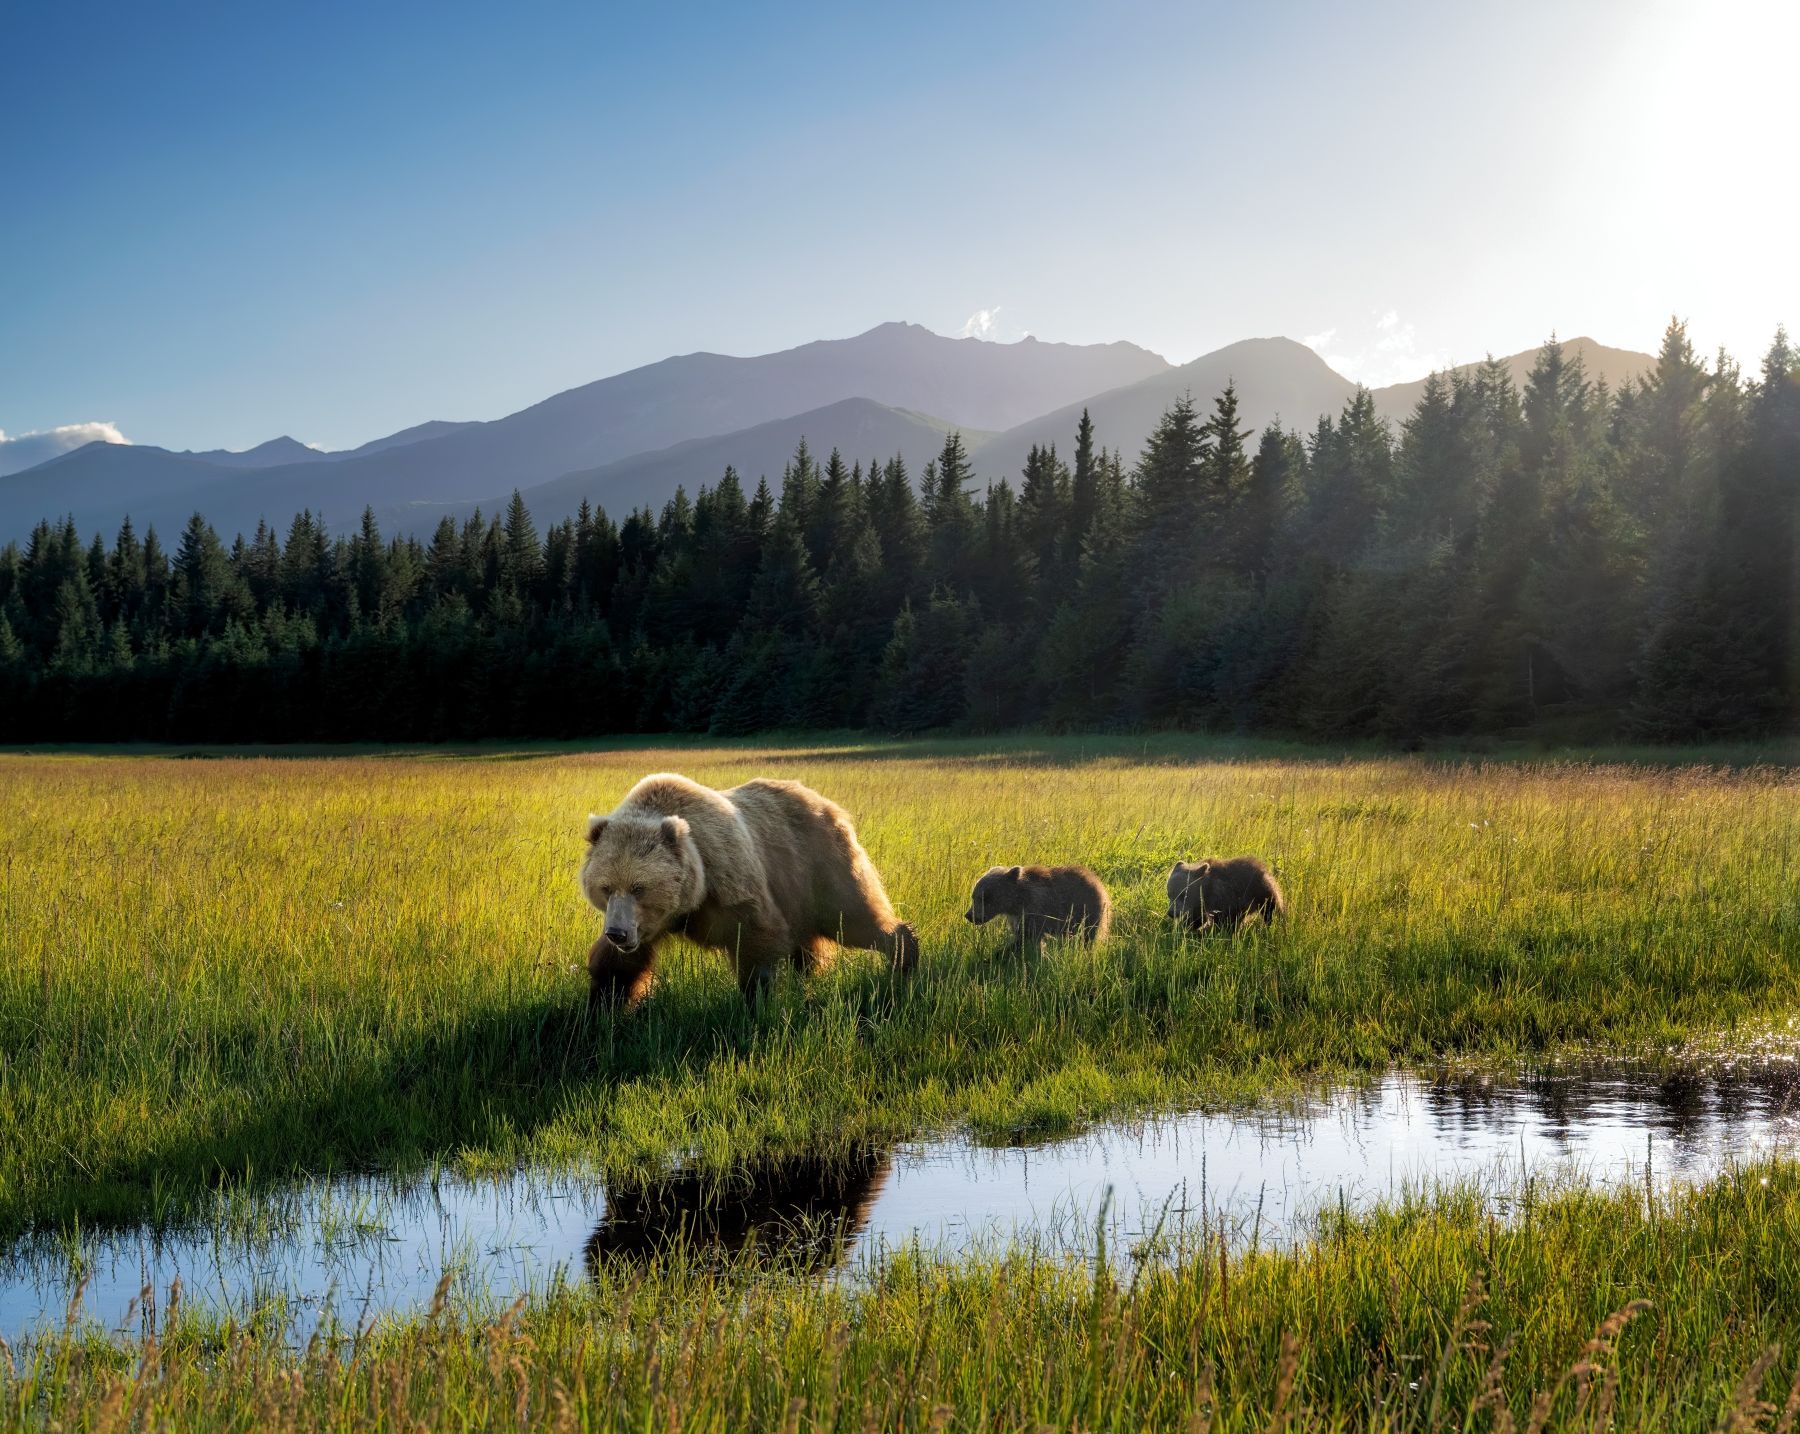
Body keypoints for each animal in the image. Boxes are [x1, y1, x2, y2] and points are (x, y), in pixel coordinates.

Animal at [581, 772, 919, 1007]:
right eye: (606, 887)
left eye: (639, 887)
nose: (617, 933)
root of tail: (824, 801)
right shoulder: (647, 924)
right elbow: (617, 967)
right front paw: (602, 1007)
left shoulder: (731, 884)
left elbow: (758, 941)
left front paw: (754, 1002)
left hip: (821, 863)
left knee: (851, 917)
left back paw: (904, 957)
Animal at [964, 864, 1112, 950]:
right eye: (974, 896)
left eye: (985, 897)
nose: (969, 915)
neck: (1017, 902)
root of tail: (1097, 881)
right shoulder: (1016, 918)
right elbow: (1021, 937)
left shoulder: (1035, 912)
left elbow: (1027, 938)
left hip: (1087, 911)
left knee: (1088, 936)